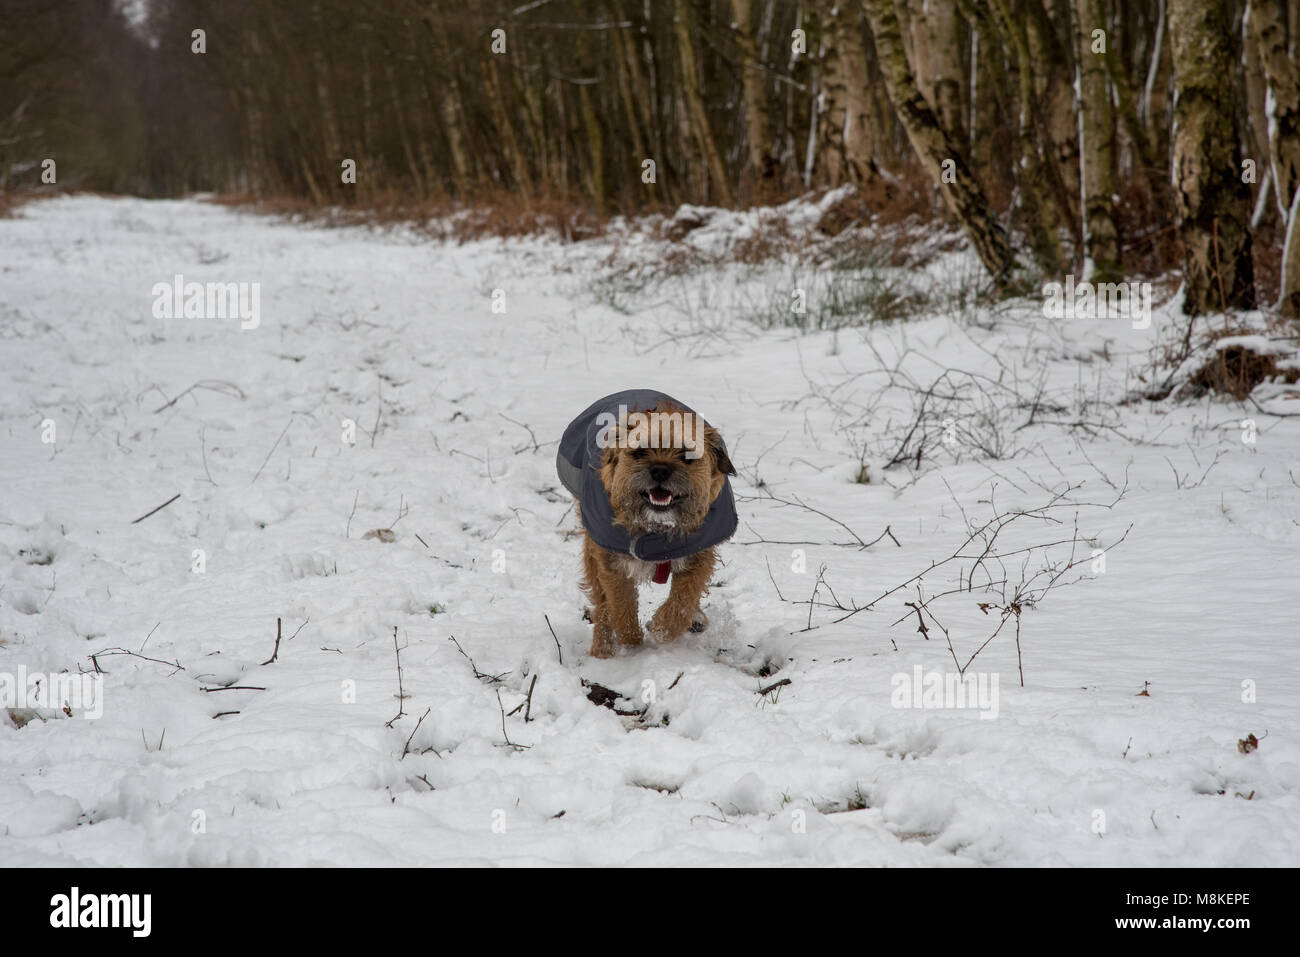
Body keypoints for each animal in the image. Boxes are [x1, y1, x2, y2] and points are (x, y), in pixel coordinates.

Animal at [553, 390, 738, 657]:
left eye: (686, 455)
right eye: (640, 452)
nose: (660, 470)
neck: (657, 527)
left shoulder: (699, 552)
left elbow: (685, 595)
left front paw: (664, 627)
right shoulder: (610, 560)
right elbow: (621, 604)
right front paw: (632, 644)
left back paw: (695, 619)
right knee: (602, 605)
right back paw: (602, 649)